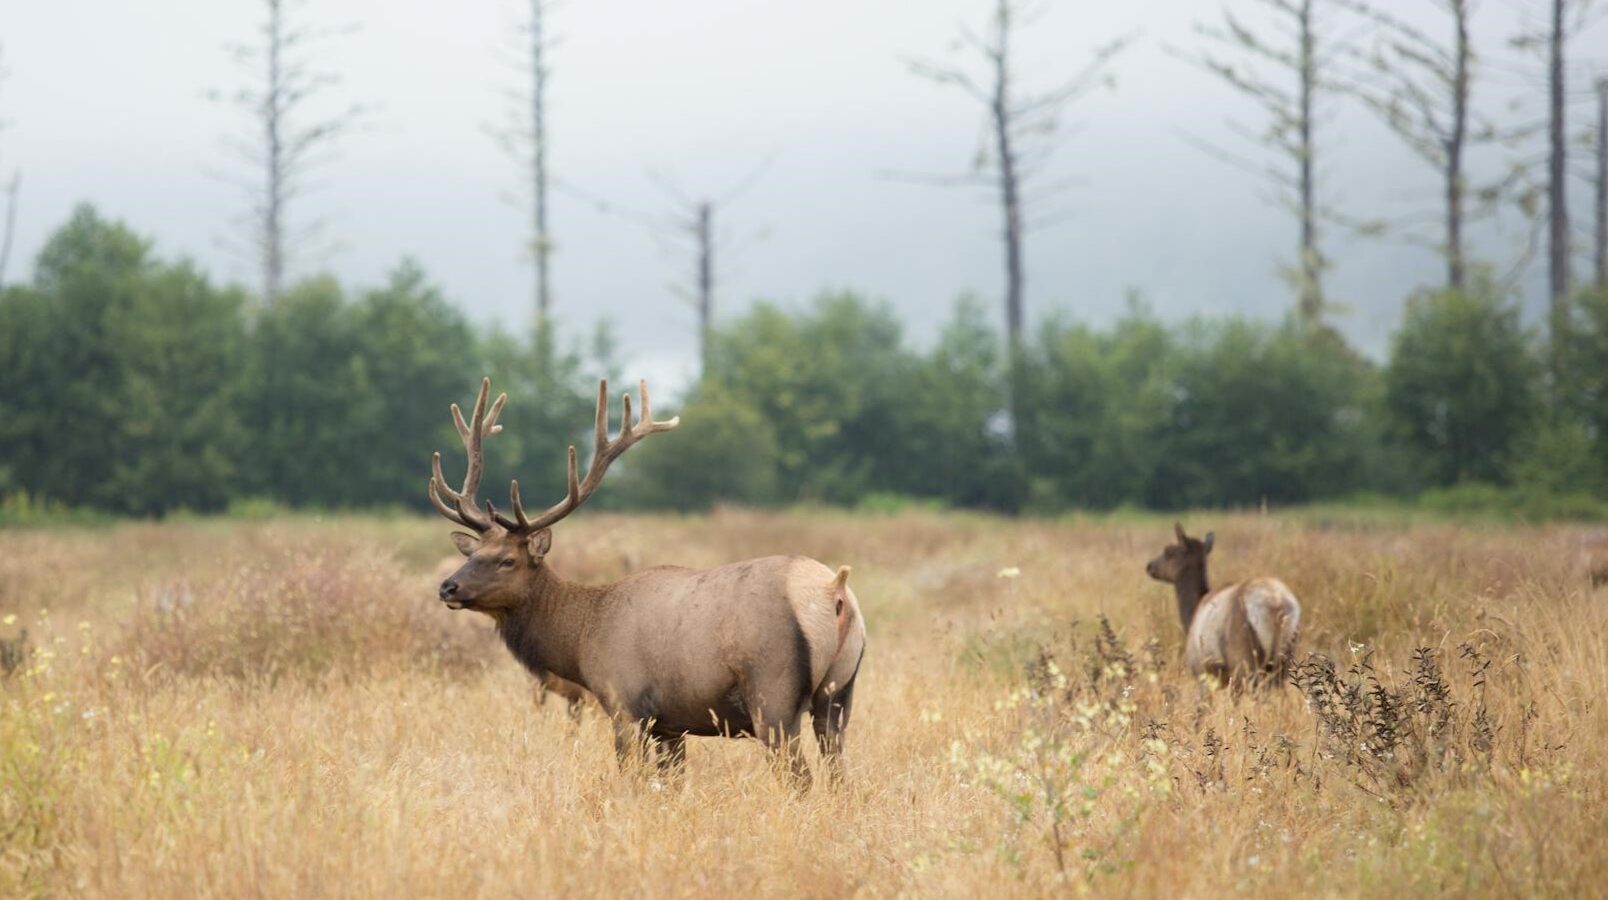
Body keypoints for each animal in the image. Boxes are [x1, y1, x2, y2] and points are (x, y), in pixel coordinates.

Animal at [428, 377, 866, 786]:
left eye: (507, 560)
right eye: (472, 554)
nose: (447, 587)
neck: (582, 640)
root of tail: (834, 590)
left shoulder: (624, 703)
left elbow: (633, 778)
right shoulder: (671, 724)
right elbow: (671, 782)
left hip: (773, 693)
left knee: (801, 777)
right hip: (839, 694)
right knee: (839, 774)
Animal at [1144, 524, 1300, 690]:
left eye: (1168, 551)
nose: (1149, 566)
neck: (1191, 616)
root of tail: (1275, 605)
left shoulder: (1201, 671)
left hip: (1243, 660)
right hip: (1284, 659)